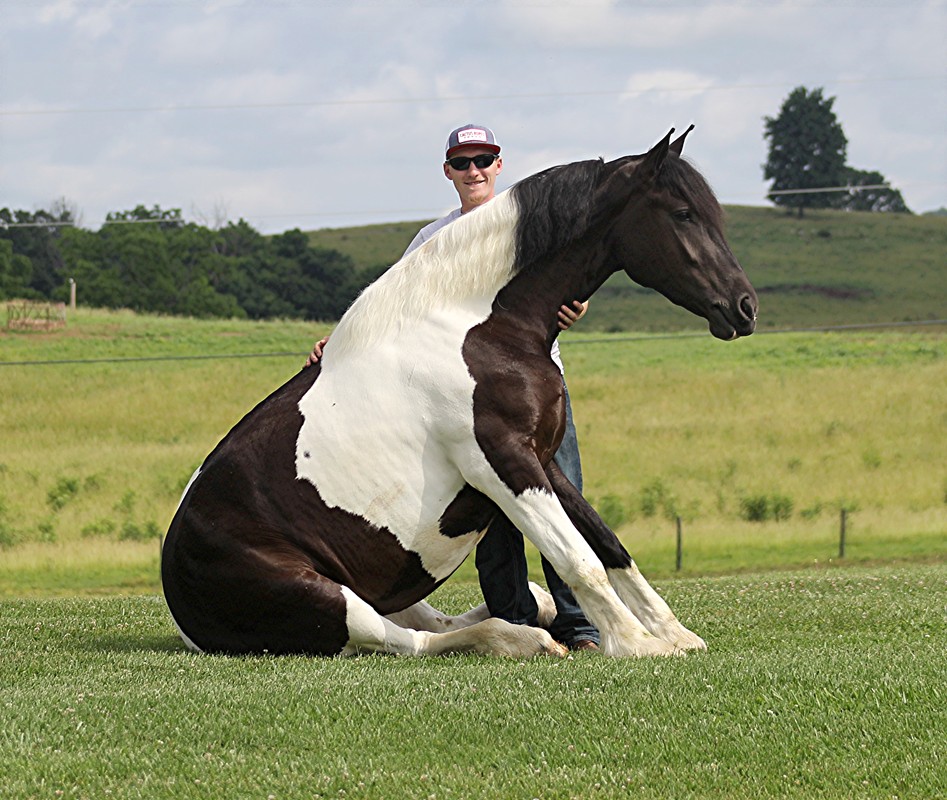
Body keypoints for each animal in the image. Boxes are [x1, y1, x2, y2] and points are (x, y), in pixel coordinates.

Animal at [161, 127, 758, 658]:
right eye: (683, 213)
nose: (744, 307)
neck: (480, 327)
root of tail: (177, 592)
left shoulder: (542, 459)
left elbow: (609, 546)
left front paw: (674, 634)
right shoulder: (500, 461)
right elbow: (579, 558)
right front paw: (638, 644)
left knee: (433, 619)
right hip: (329, 600)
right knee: (408, 641)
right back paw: (520, 639)